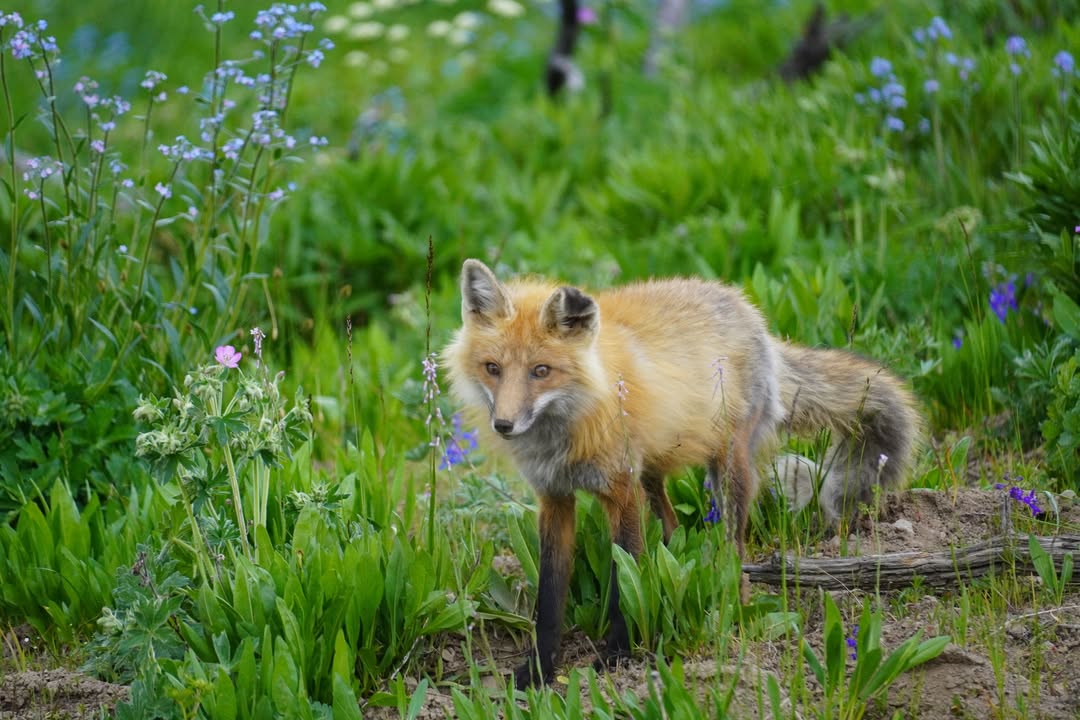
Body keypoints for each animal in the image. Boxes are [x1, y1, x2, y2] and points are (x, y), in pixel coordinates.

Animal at [442, 259, 920, 688]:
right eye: (492, 368)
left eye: (541, 371)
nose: (504, 425)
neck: (570, 424)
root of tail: (749, 310)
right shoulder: (555, 499)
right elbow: (549, 598)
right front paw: (539, 670)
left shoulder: (621, 492)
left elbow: (624, 580)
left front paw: (618, 655)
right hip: (652, 475)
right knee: (671, 528)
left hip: (726, 473)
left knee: (733, 553)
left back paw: (733, 609)